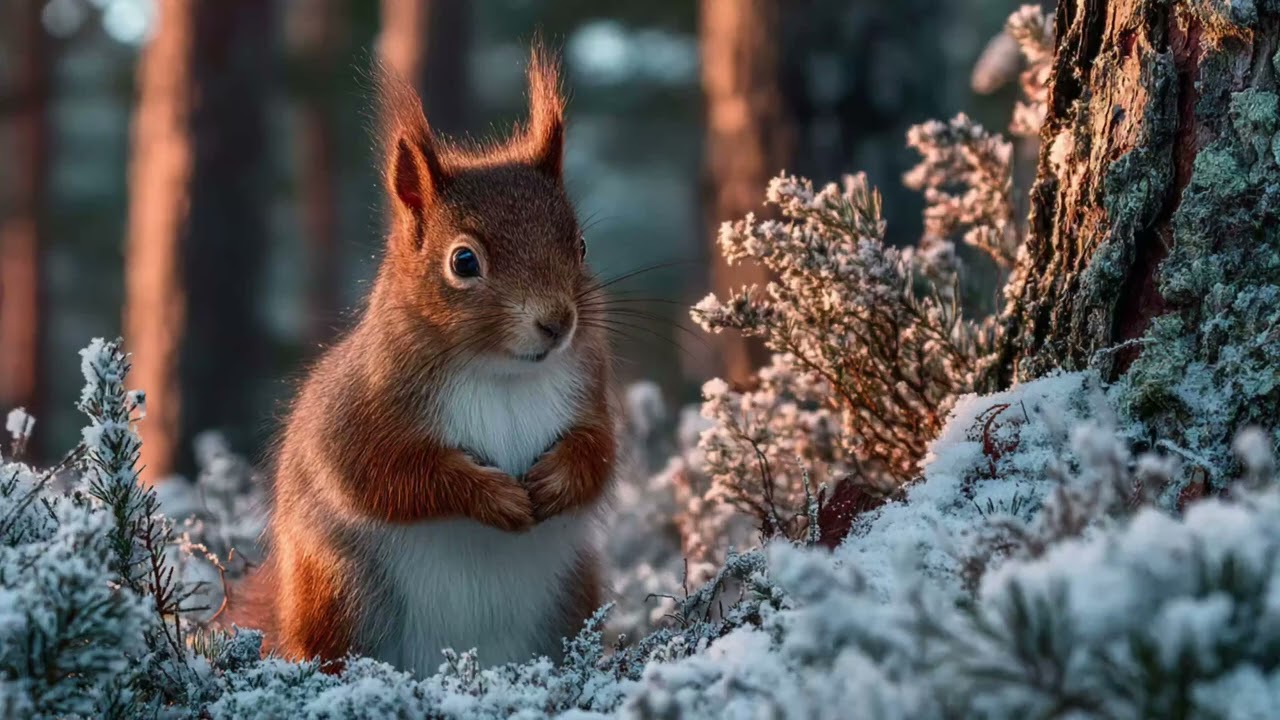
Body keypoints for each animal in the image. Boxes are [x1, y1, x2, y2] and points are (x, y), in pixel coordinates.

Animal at [231, 46, 617, 674]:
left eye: (581, 246)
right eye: (464, 262)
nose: (558, 323)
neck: (502, 373)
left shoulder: (590, 390)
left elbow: (599, 454)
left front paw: (557, 479)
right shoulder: (356, 415)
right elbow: (386, 476)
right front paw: (491, 497)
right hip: (339, 594)